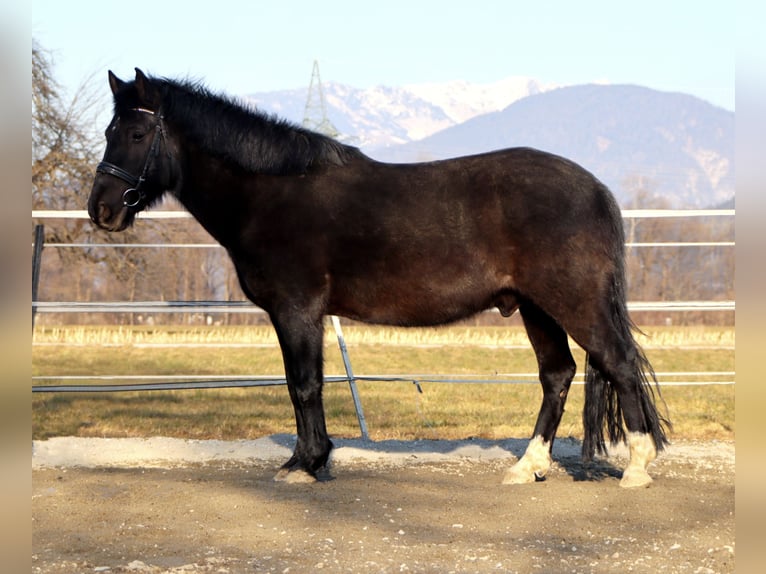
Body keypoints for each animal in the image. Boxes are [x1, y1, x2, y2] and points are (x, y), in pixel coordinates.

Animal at [87, 70, 668, 488]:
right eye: (109, 132)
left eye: (136, 133)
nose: (102, 210)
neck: (271, 193)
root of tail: (597, 189)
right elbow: (303, 385)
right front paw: (311, 459)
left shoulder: (297, 310)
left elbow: (304, 384)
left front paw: (305, 463)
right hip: (535, 306)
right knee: (558, 375)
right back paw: (527, 467)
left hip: (572, 302)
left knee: (618, 362)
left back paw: (637, 468)